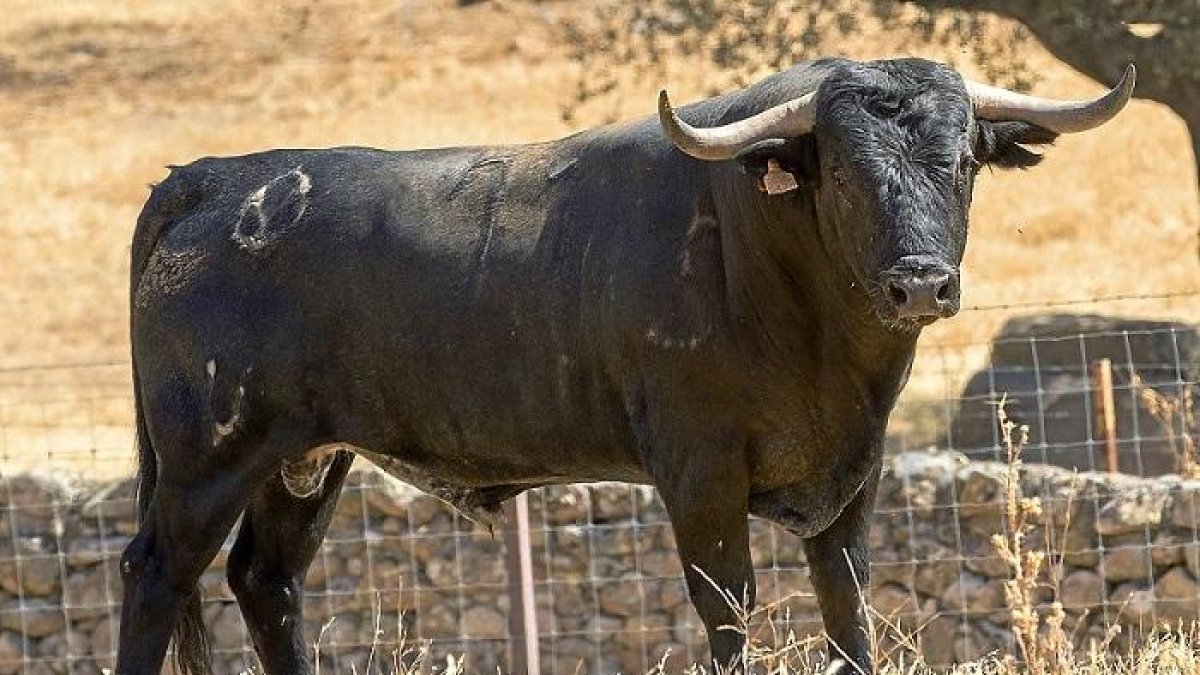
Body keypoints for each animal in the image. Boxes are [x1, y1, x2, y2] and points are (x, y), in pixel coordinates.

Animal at [117, 59, 1128, 672]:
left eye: (963, 164)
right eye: (841, 170)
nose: (920, 283)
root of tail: (212, 178)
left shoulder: (852, 478)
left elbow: (848, 614)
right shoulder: (700, 473)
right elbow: (729, 613)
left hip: (302, 461)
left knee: (267, 581)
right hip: (207, 460)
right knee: (156, 574)